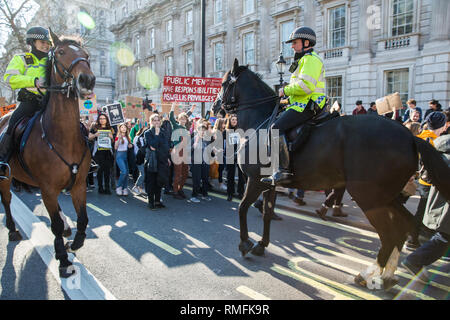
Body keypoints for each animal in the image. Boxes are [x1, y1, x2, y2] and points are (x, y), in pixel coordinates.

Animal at [0, 30, 95, 278]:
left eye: (87, 55)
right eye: (60, 52)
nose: (87, 80)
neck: (62, 136)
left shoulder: (79, 184)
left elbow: (83, 219)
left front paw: (73, 244)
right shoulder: (47, 189)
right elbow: (55, 225)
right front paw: (63, 260)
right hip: (6, 177)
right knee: (7, 199)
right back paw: (12, 229)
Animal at [212, 58, 450, 290]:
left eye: (223, 84)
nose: (215, 107)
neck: (260, 123)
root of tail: (410, 137)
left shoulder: (255, 181)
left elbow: (243, 208)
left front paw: (245, 244)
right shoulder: (268, 183)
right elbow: (266, 213)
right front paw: (261, 245)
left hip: (369, 197)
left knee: (391, 234)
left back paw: (368, 274)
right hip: (386, 197)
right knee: (403, 227)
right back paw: (388, 274)